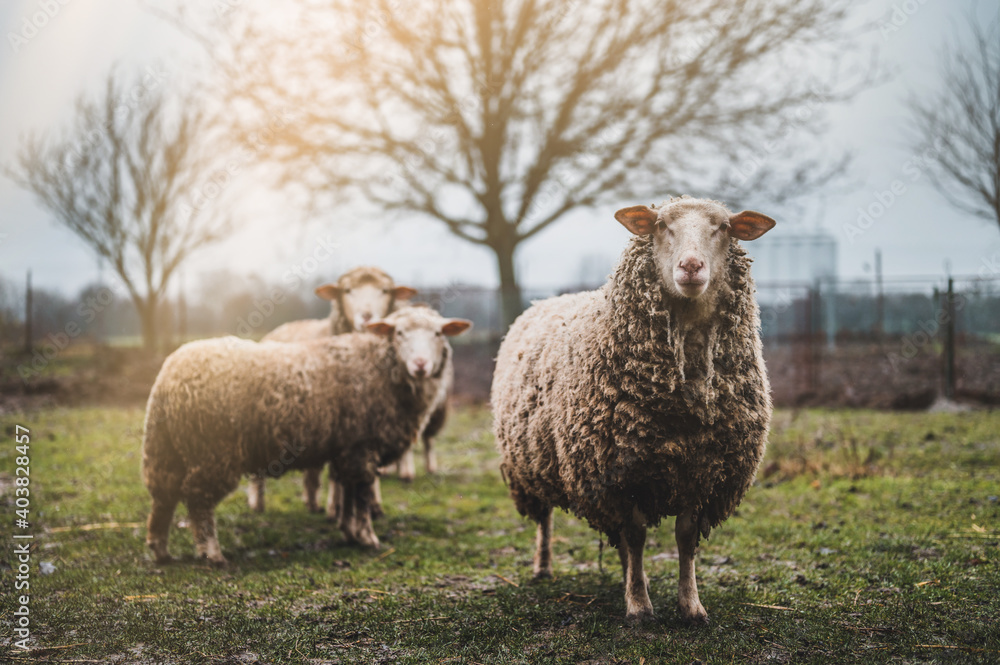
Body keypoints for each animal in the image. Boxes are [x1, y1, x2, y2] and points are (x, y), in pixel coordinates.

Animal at [142, 306, 471, 564]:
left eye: (439, 334)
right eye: (399, 333)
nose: (420, 365)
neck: (383, 366)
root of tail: (169, 376)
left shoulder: (347, 447)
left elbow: (348, 492)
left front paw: (350, 533)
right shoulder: (362, 445)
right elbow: (362, 494)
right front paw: (368, 538)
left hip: (166, 447)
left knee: (163, 496)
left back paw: (160, 549)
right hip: (211, 450)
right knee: (198, 498)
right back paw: (211, 553)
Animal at [249, 266, 416, 516]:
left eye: (385, 291)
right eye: (347, 291)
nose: (367, 316)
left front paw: (374, 505)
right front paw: (336, 508)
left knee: (312, 469)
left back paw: (311, 501)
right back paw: (257, 503)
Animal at [491, 196, 775, 623]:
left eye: (723, 228)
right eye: (660, 226)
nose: (691, 266)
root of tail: (543, 301)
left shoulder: (702, 471)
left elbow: (684, 539)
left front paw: (691, 606)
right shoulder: (619, 474)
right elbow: (637, 535)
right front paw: (639, 606)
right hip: (531, 465)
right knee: (545, 518)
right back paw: (543, 567)